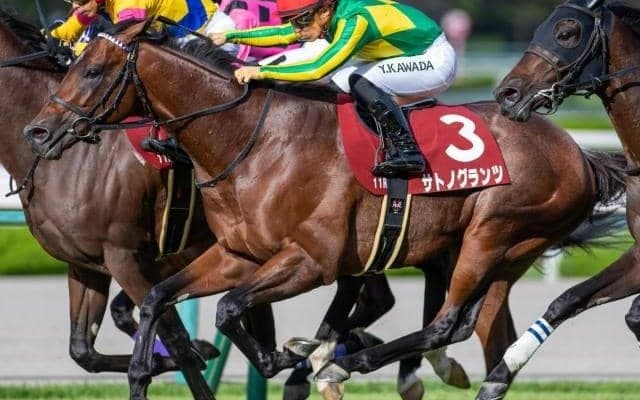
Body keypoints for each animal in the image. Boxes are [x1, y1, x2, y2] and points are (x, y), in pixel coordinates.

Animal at [23, 20, 626, 399]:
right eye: (71, 65)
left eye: (92, 72)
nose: (38, 131)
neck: (252, 141)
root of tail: (577, 151)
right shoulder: (238, 254)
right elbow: (157, 300)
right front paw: (149, 372)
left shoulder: (311, 261)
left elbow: (229, 311)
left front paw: (297, 356)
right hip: (488, 250)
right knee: (477, 330)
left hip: (494, 233)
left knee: (447, 323)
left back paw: (345, 361)